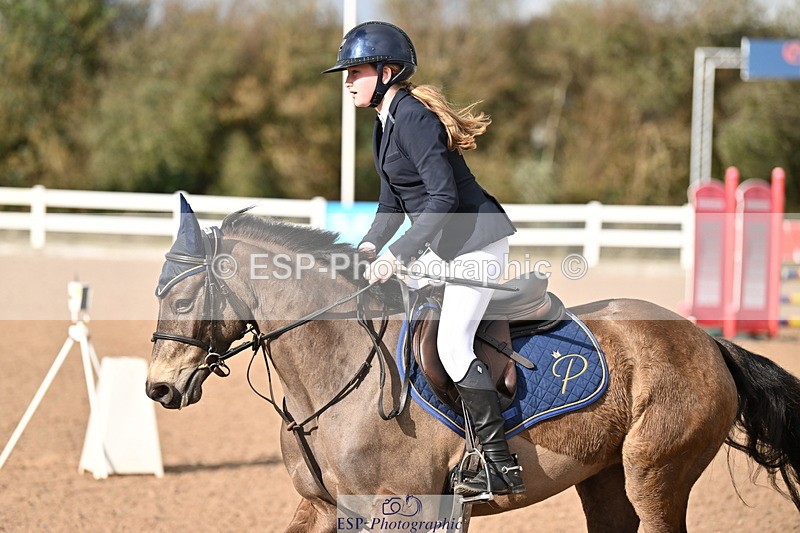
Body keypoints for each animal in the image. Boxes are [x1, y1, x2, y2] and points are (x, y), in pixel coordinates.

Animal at [147, 205, 800, 533]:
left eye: (182, 300)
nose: (158, 387)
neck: (334, 378)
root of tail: (707, 340)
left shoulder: (394, 506)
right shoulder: (323, 506)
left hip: (655, 475)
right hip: (606, 478)